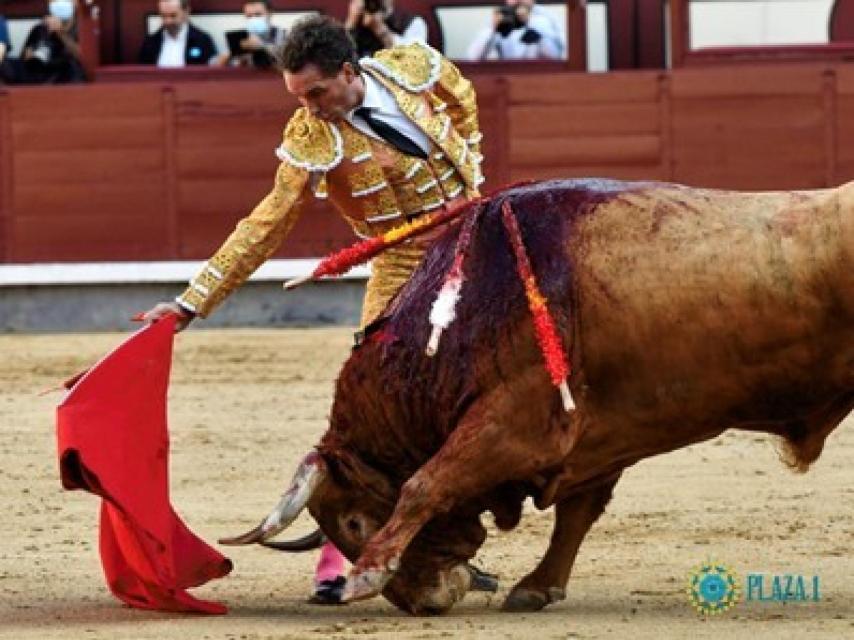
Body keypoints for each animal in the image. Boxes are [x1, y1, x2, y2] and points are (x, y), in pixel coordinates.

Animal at [222, 179, 854, 616]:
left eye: (353, 523)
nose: (426, 601)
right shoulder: (596, 440)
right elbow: (577, 515)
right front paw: (536, 588)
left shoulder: (516, 423)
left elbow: (426, 482)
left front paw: (364, 576)